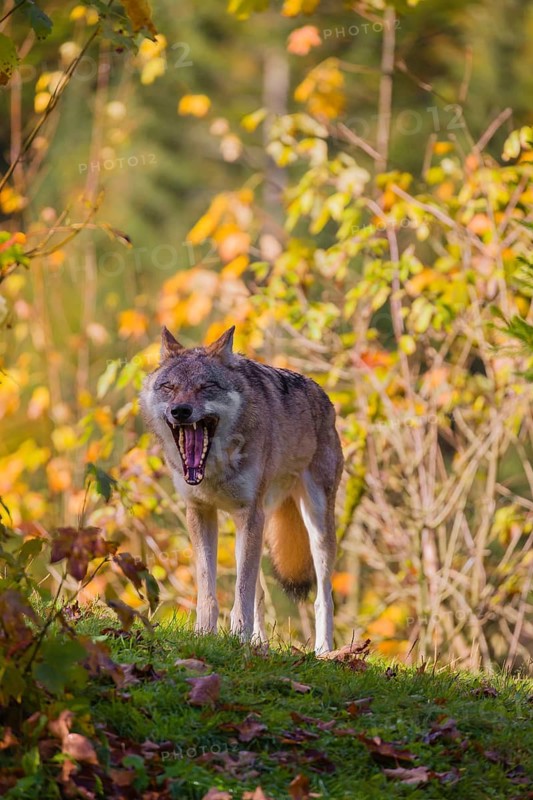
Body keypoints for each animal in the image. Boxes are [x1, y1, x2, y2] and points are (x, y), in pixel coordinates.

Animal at [140, 326, 343, 654]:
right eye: (169, 387)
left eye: (206, 386)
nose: (180, 411)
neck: (213, 469)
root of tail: (323, 396)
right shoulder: (201, 512)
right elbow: (210, 589)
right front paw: (205, 634)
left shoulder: (250, 514)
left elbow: (242, 591)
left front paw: (237, 636)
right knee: (258, 593)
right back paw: (259, 643)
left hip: (317, 526)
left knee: (323, 597)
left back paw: (323, 651)